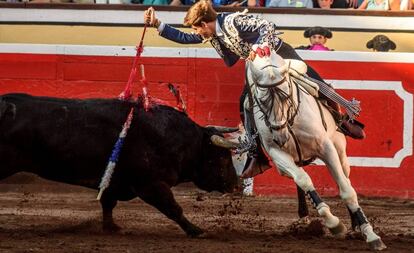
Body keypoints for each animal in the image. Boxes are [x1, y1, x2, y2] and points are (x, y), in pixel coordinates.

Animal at [0, 93, 238, 237]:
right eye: (222, 158)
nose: (236, 185)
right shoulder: (150, 185)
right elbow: (173, 208)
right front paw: (196, 230)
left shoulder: (114, 182)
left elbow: (108, 203)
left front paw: (111, 228)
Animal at [243, 47, 388, 251]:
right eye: (261, 101)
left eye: (286, 95)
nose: (281, 137)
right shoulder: (277, 153)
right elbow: (303, 180)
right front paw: (334, 224)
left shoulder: (326, 148)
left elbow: (347, 191)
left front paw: (371, 234)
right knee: (299, 178)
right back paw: (305, 216)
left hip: (340, 150)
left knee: (346, 178)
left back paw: (355, 226)